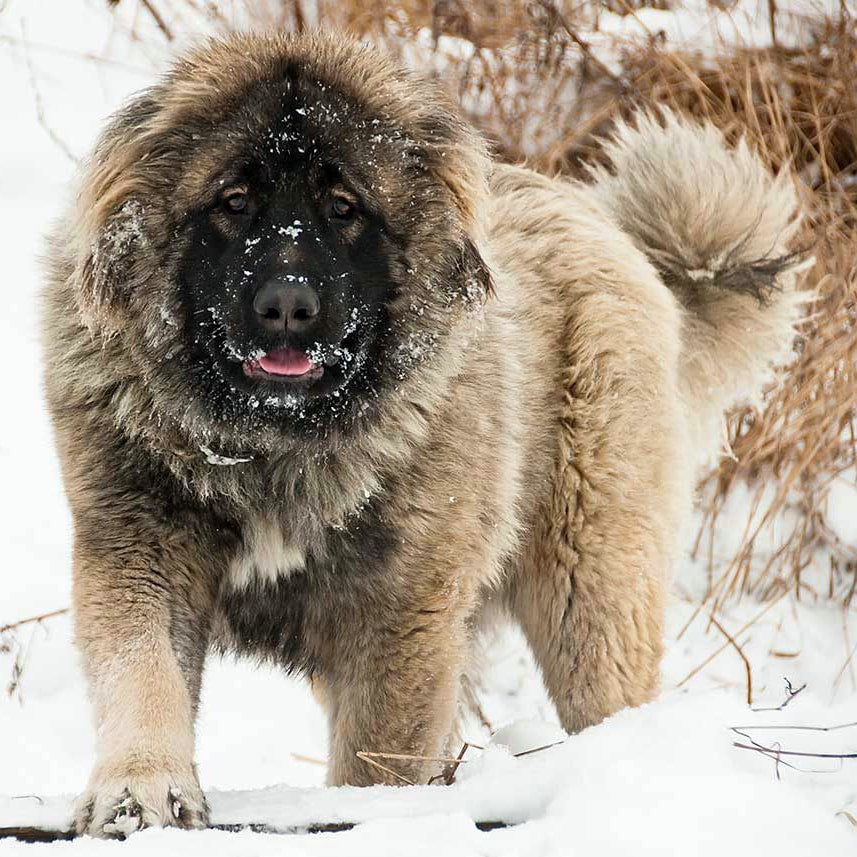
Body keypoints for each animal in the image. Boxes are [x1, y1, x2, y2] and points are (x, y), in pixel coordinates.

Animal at [40, 31, 804, 836]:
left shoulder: (400, 611)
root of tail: (612, 233)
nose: (287, 306)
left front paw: (369, 818)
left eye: (343, 207)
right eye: (234, 201)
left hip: (589, 589)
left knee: (607, 691)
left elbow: (380, 752)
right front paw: (139, 793)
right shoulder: (141, 546)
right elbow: (142, 675)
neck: (277, 446)